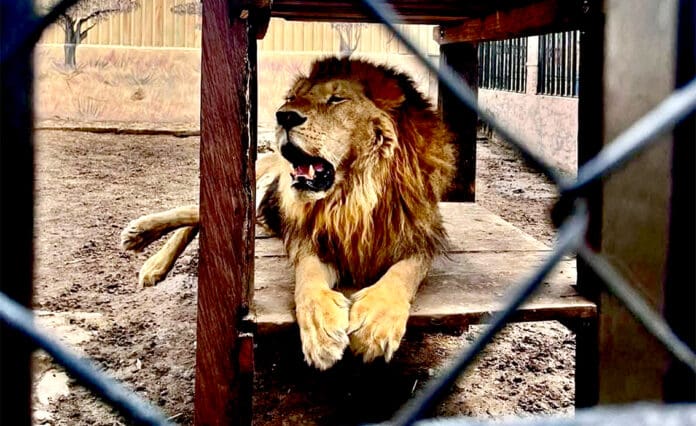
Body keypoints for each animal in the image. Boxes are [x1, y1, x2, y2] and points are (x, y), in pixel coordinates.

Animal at [120, 57, 456, 370]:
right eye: (293, 97)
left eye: (337, 99)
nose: (283, 116)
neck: (352, 198)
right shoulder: (308, 238)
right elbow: (308, 277)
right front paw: (321, 328)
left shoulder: (423, 239)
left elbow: (402, 274)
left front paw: (376, 322)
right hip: (255, 189)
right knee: (196, 212)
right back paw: (145, 247)